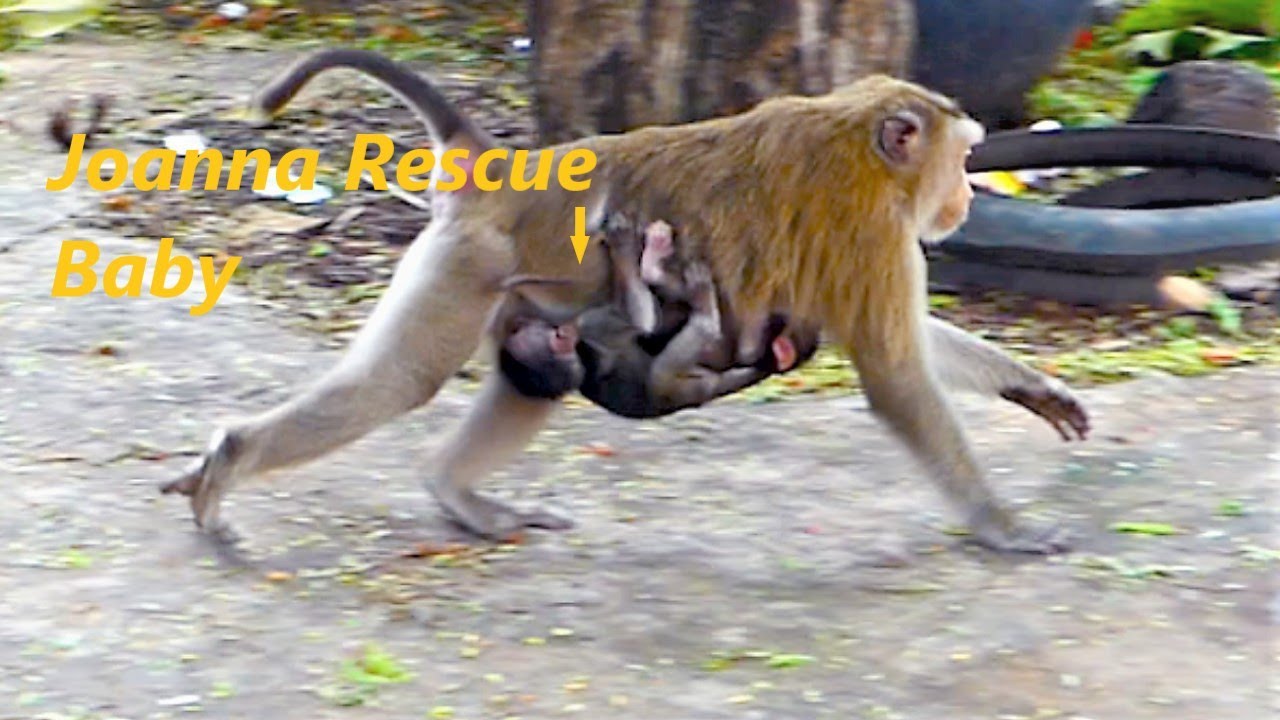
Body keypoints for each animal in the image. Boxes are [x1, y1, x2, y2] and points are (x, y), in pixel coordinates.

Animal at [161, 49, 1090, 554]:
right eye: (960, 156)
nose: (964, 197)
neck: (857, 144)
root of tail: (505, 169)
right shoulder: (870, 231)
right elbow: (896, 374)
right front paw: (1003, 525)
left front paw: (1031, 388)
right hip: (467, 264)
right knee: (398, 382)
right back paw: (234, 460)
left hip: (518, 292)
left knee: (532, 373)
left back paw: (456, 494)